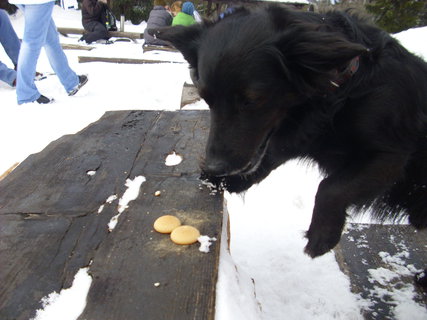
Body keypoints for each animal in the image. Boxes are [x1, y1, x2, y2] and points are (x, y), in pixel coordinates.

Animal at [152, 3, 426, 278]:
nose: (216, 167)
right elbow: (269, 157)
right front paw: (226, 181)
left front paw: (322, 235)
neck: (341, 90)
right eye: (206, 97)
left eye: (251, 100)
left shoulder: (391, 156)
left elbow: (331, 187)